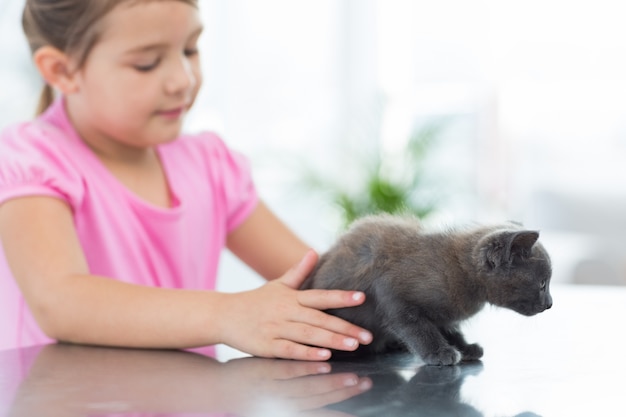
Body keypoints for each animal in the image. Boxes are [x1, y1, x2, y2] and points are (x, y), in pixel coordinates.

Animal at [302, 214, 552, 364]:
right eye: (542, 284)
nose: (550, 304)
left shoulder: (444, 315)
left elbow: (449, 328)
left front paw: (465, 347)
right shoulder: (393, 295)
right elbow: (419, 328)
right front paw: (439, 352)